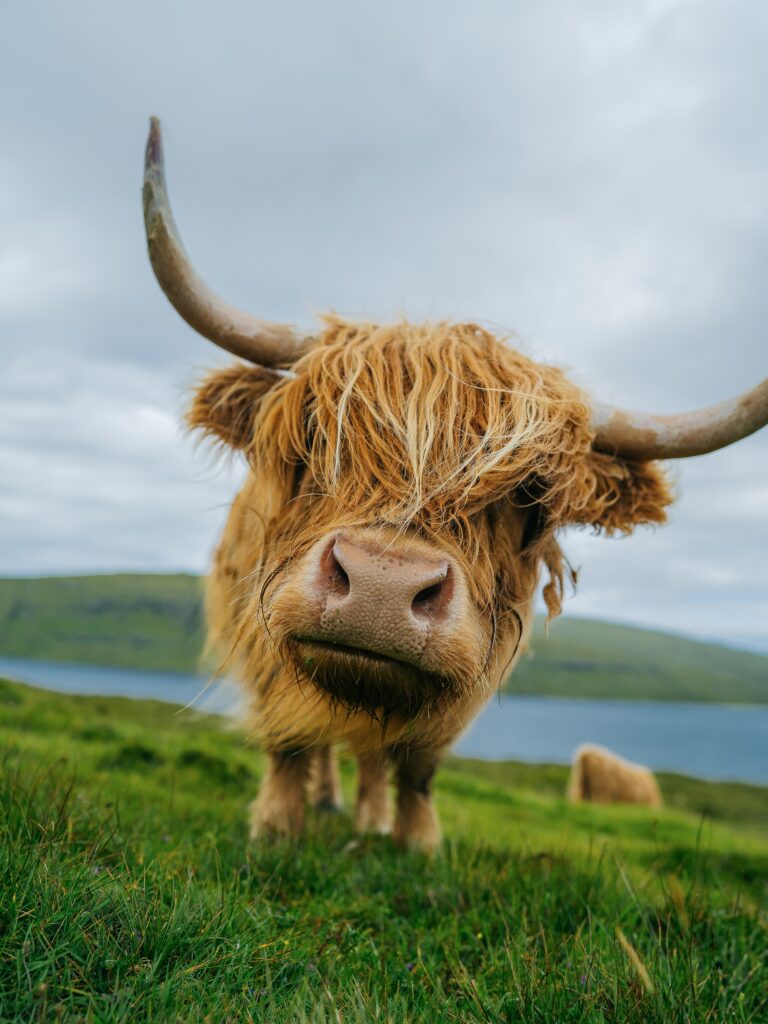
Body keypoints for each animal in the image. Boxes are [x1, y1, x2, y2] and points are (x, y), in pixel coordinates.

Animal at [142, 118, 767, 851]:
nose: (381, 589)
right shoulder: (260, 628)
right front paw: (276, 827)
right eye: (318, 434)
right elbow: (289, 742)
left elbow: (416, 765)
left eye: (529, 489)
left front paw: (416, 841)